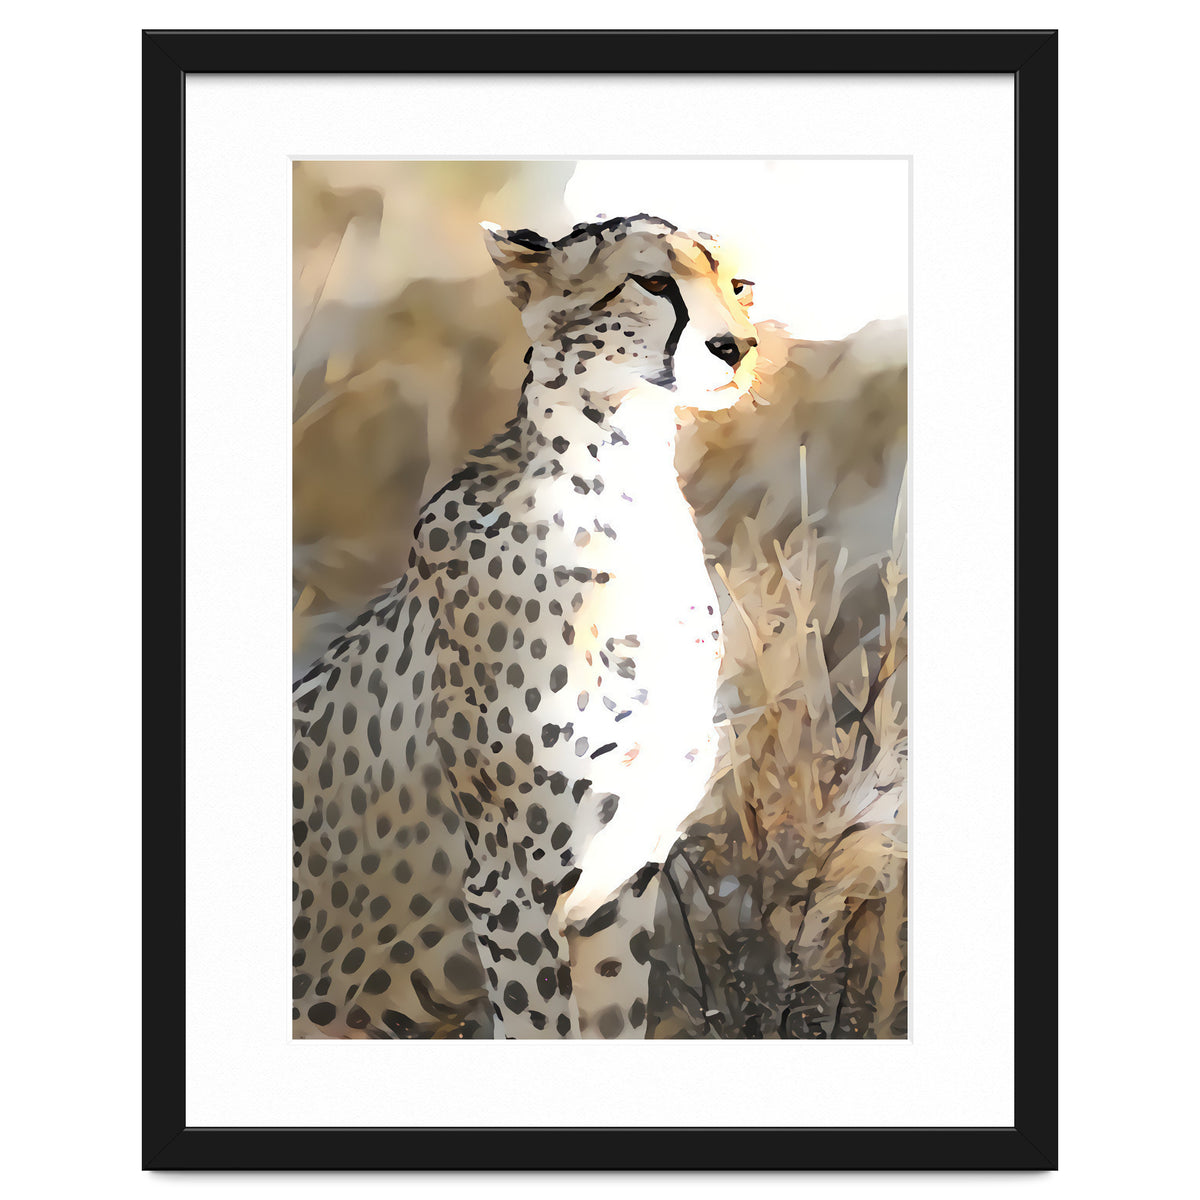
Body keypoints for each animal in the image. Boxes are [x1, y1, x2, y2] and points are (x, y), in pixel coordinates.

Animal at [292, 213, 759, 1039]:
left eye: (740, 286)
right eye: (654, 281)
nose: (739, 347)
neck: (625, 489)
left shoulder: (618, 892)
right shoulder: (508, 893)